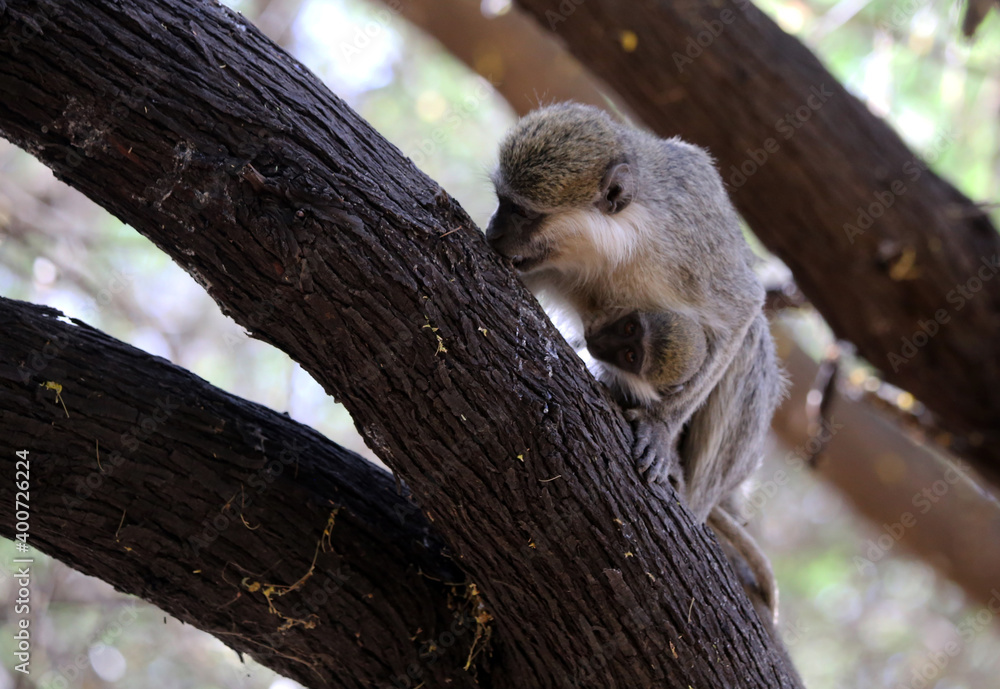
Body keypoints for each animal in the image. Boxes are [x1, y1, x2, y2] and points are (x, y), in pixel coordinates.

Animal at [486, 102, 785, 526]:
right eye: (501, 200)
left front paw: (659, 427)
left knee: (751, 341)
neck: (621, 243)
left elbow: (744, 310)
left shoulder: (690, 249)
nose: (493, 231)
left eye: (521, 212)